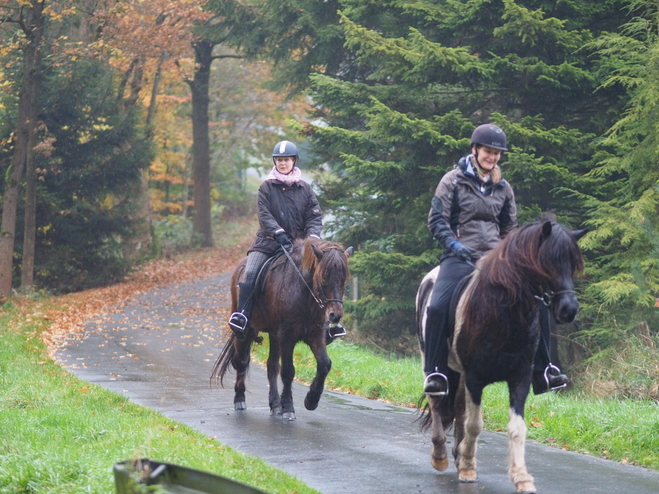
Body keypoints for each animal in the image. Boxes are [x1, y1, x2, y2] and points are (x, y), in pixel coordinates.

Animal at [214, 236, 354, 420]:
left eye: (344, 279)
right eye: (324, 278)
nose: (335, 316)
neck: (304, 292)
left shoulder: (315, 334)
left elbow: (324, 364)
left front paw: (311, 399)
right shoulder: (287, 336)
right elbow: (288, 371)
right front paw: (288, 407)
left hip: (274, 335)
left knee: (271, 366)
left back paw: (275, 405)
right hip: (245, 331)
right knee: (241, 361)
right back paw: (240, 399)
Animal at [418, 222, 588, 492]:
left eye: (572, 264)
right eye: (547, 262)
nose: (568, 310)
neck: (503, 315)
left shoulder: (520, 377)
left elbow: (516, 428)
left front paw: (522, 477)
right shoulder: (475, 378)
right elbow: (475, 425)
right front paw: (468, 468)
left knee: (458, 408)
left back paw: (457, 454)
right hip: (431, 363)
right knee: (437, 403)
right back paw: (441, 457)